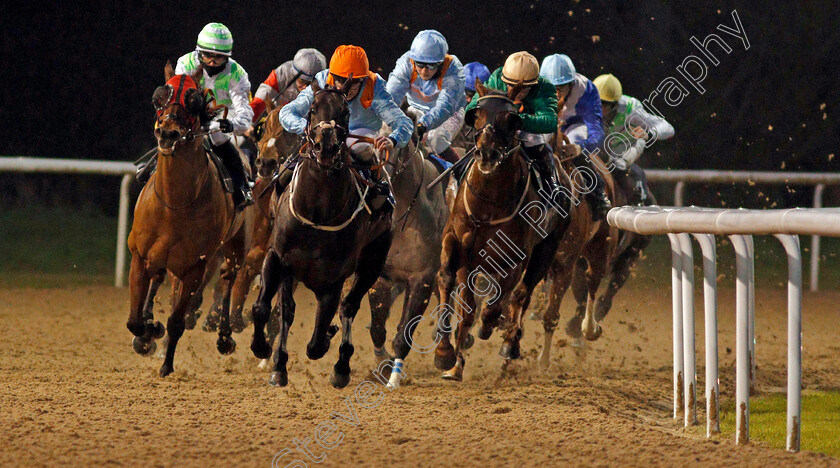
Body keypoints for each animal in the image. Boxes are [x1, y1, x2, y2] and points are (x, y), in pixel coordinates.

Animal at [126, 62, 248, 376]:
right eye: (160, 95)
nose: (167, 133)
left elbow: (177, 321)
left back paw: (224, 336)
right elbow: (134, 321)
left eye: (193, 99)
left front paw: (167, 365)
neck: (175, 203)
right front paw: (148, 331)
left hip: (235, 243)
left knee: (229, 277)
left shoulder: (195, 266)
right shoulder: (140, 255)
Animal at [249, 79, 394, 388]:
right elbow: (266, 308)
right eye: (312, 109)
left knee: (349, 306)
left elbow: (318, 337)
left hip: (373, 260)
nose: (325, 145)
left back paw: (341, 365)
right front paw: (265, 351)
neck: (317, 213)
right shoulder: (278, 258)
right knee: (287, 310)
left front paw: (329, 341)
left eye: (345, 113)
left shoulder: (334, 277)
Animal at [434, 80, 572, 380]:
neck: (488, 203)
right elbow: (449, 283)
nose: (486, 153)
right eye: (476, 114)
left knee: (521, 294)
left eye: (511, 118)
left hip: (547, 249)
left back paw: (509, 343)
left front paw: (491, 327)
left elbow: (498, 301)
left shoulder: (515, 257)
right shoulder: (456, 242)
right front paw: (446, 354)